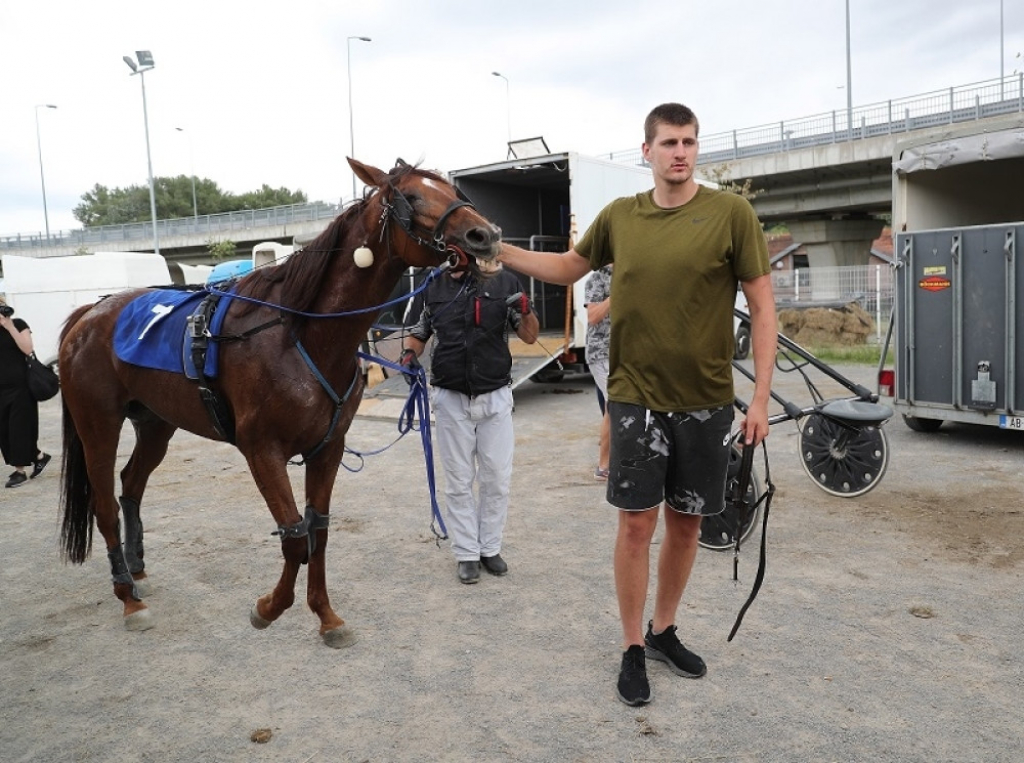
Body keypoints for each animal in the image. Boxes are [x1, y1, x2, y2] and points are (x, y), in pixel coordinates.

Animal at [58, 157, 499, 647]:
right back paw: (128, 598)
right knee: (104, 505)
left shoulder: (328, 448)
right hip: (98, 424)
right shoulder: (262, 450)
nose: (485, 234)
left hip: (156, 423)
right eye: (414, 196)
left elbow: (318, 532)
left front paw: (326, 615)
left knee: (131, 484)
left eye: (450, 190)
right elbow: (293, 538)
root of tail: (90, 314)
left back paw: (136, 571)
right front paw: (268, 608)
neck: (298, 335)